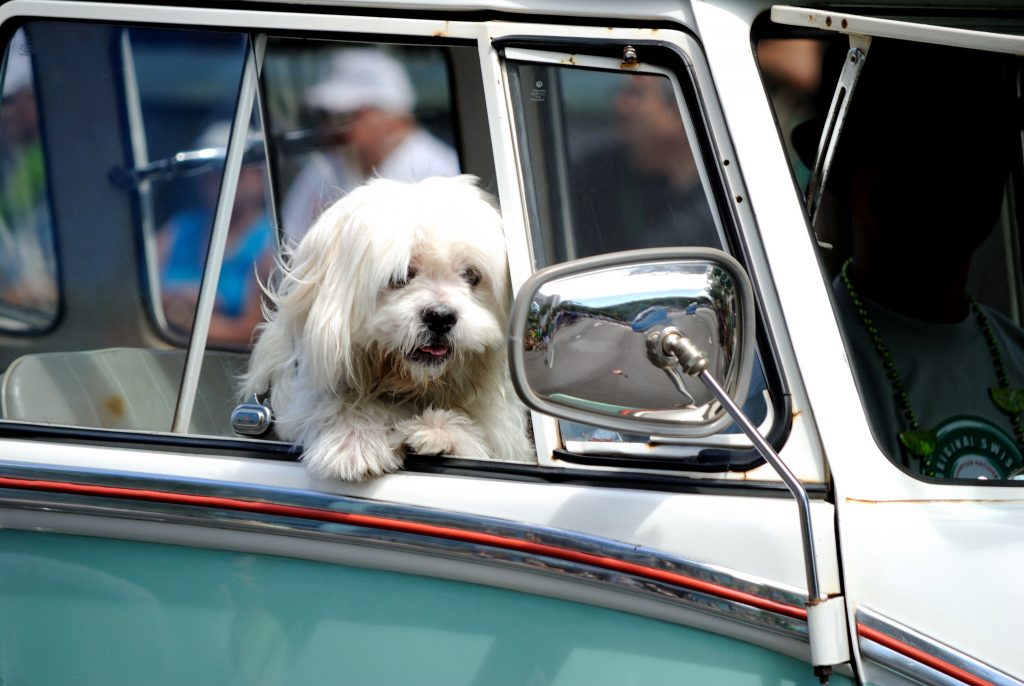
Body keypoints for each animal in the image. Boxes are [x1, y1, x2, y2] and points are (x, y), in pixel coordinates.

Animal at [245, 177, 536, 483]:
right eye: (401, 275)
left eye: (471, 275)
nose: (440, 317)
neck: (413, 385)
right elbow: (337, 404)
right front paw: (354, 439)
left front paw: (442, 433)